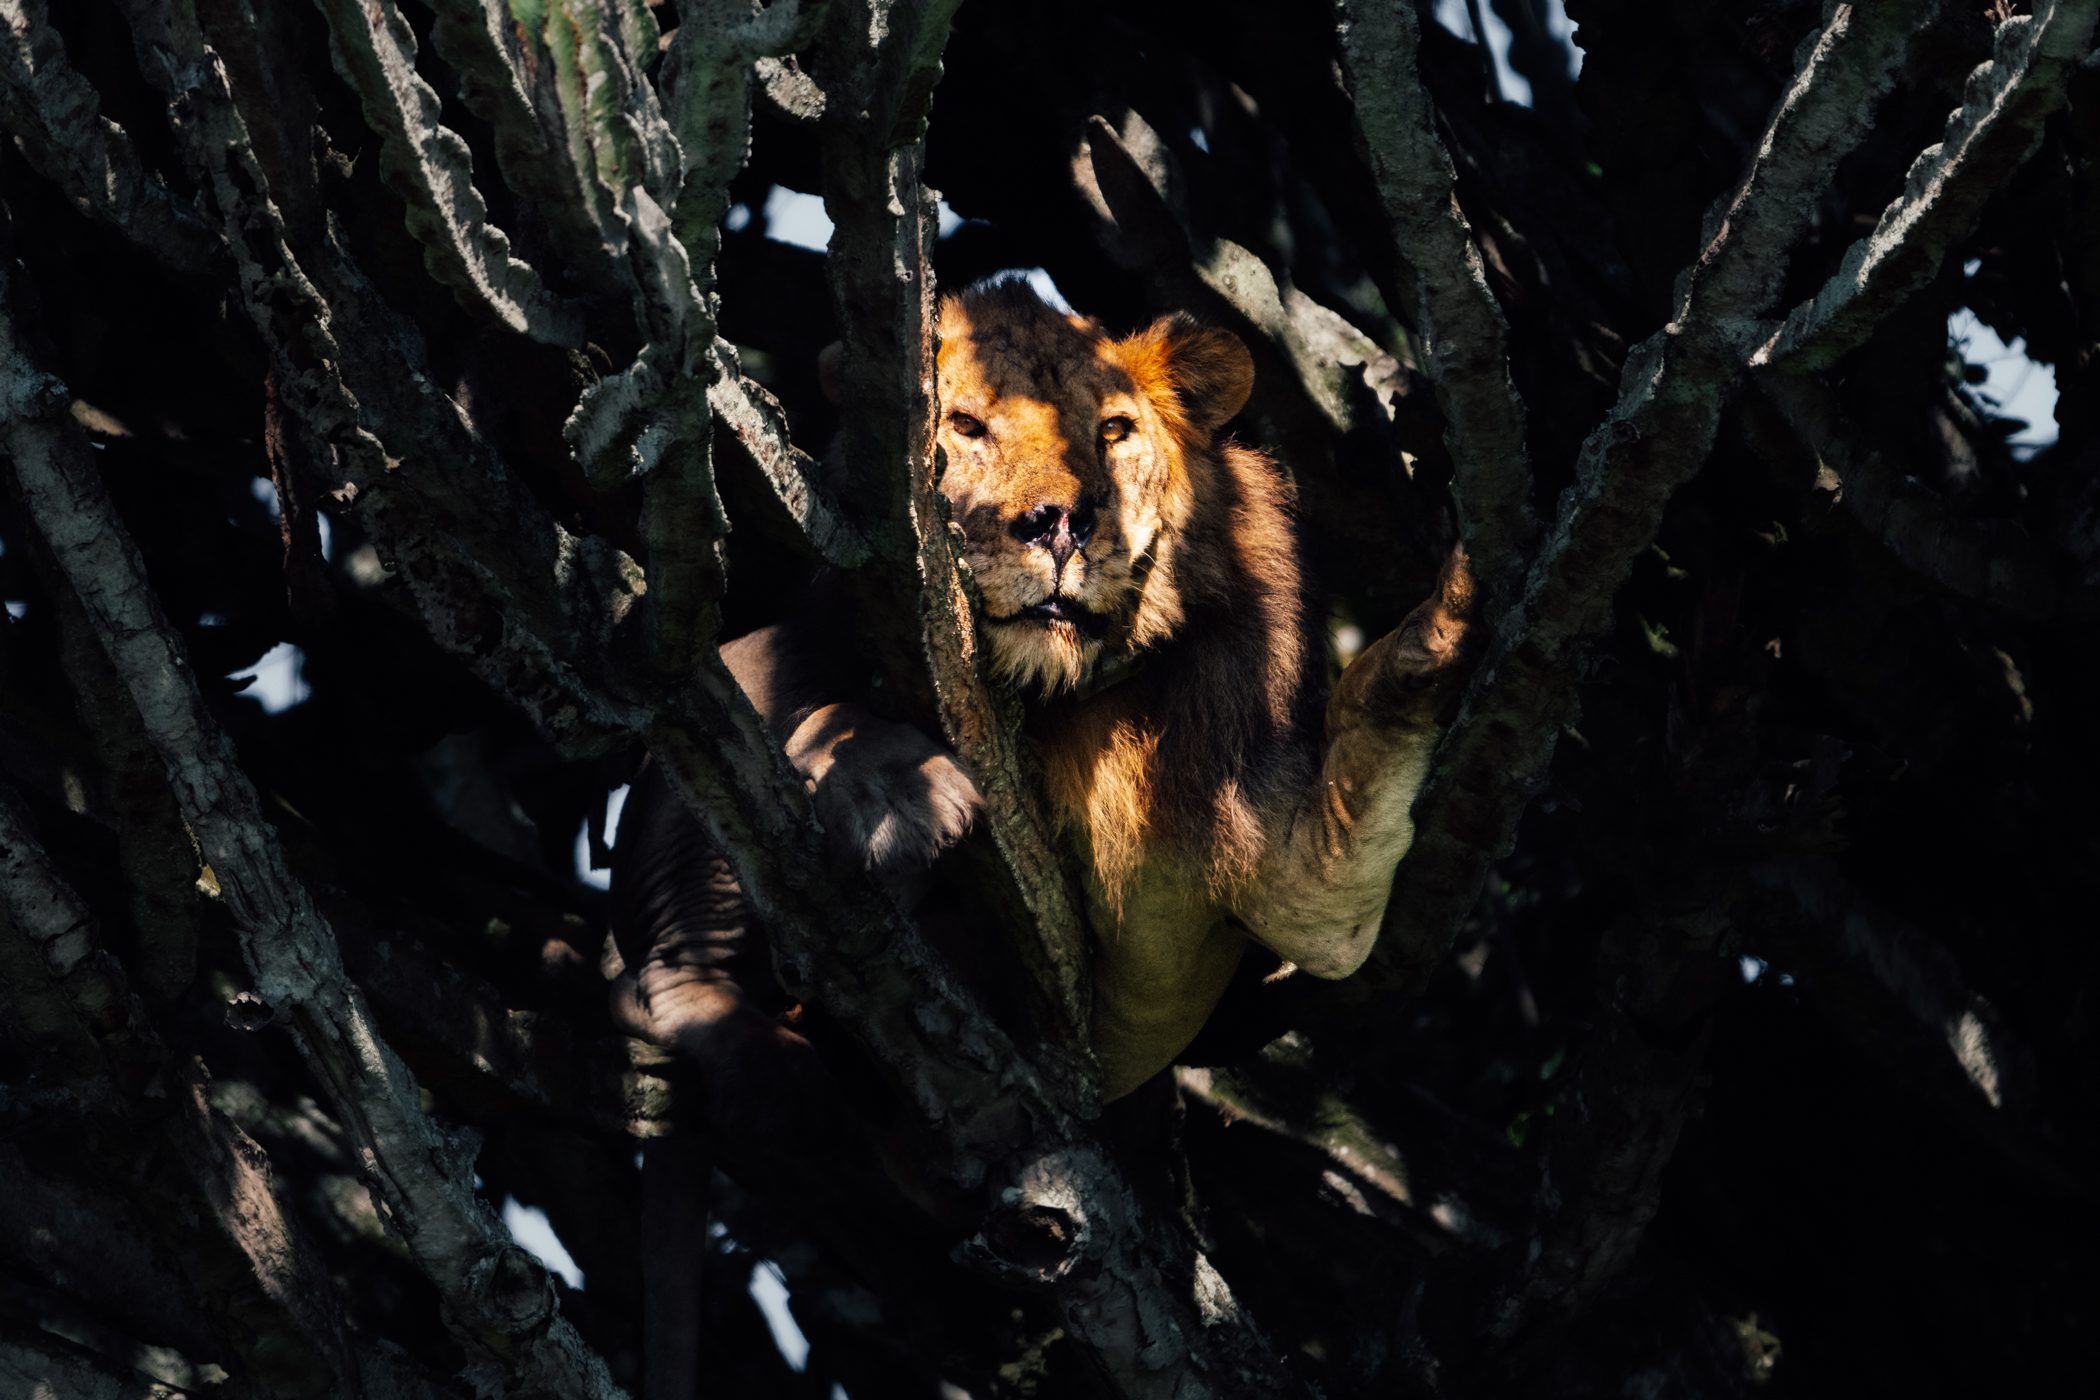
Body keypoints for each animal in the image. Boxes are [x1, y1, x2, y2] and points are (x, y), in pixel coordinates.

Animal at [611, 277, 1471, 1115]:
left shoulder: (1291, 875)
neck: (1059, 696)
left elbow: (1350, 818)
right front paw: (894, 794)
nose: (1058, 524)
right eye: (965, 426)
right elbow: (817, 716)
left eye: (1114, 432)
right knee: (660, 968)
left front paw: (1447, 618)